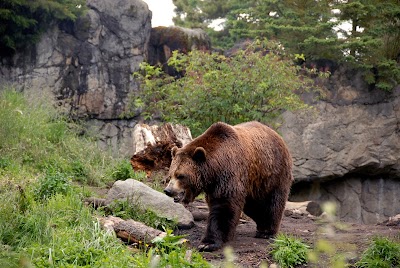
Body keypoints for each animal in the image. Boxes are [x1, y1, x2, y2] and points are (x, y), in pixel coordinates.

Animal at [163, 121, 294, 251]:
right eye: (171, 174)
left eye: (181, 176)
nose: (168, 190)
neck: (214, 170)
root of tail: (277, 135)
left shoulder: (229, 174)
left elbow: (223, 206)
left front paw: (208, 243)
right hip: (254, 183)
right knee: (254, 206)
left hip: (272, 173)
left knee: (271, 202)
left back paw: (267, 231)